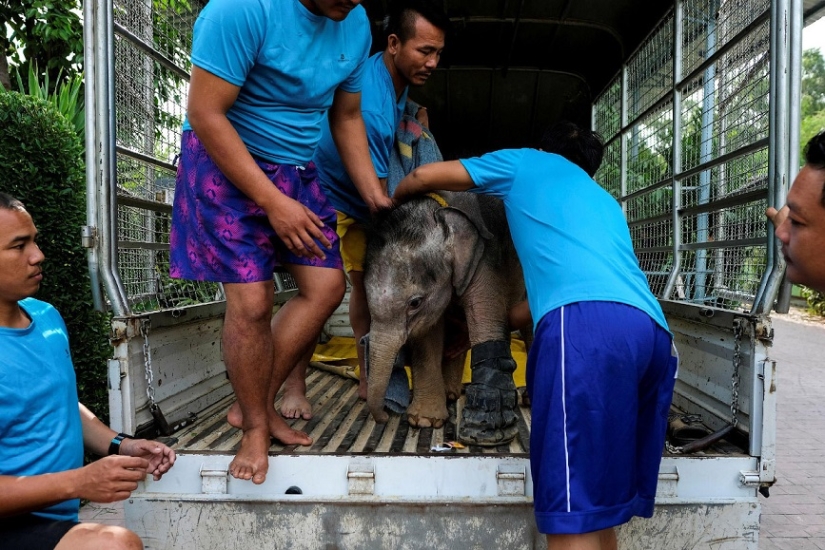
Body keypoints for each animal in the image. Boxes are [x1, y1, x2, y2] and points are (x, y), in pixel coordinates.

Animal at [363, 191, 527, 446]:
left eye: (415, 303)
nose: (384, 417)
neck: (439, 210)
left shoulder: (484, 258)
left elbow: (485, 318)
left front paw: (486, 433)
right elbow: (428, 334)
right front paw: (425, 421)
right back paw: (452, 393)